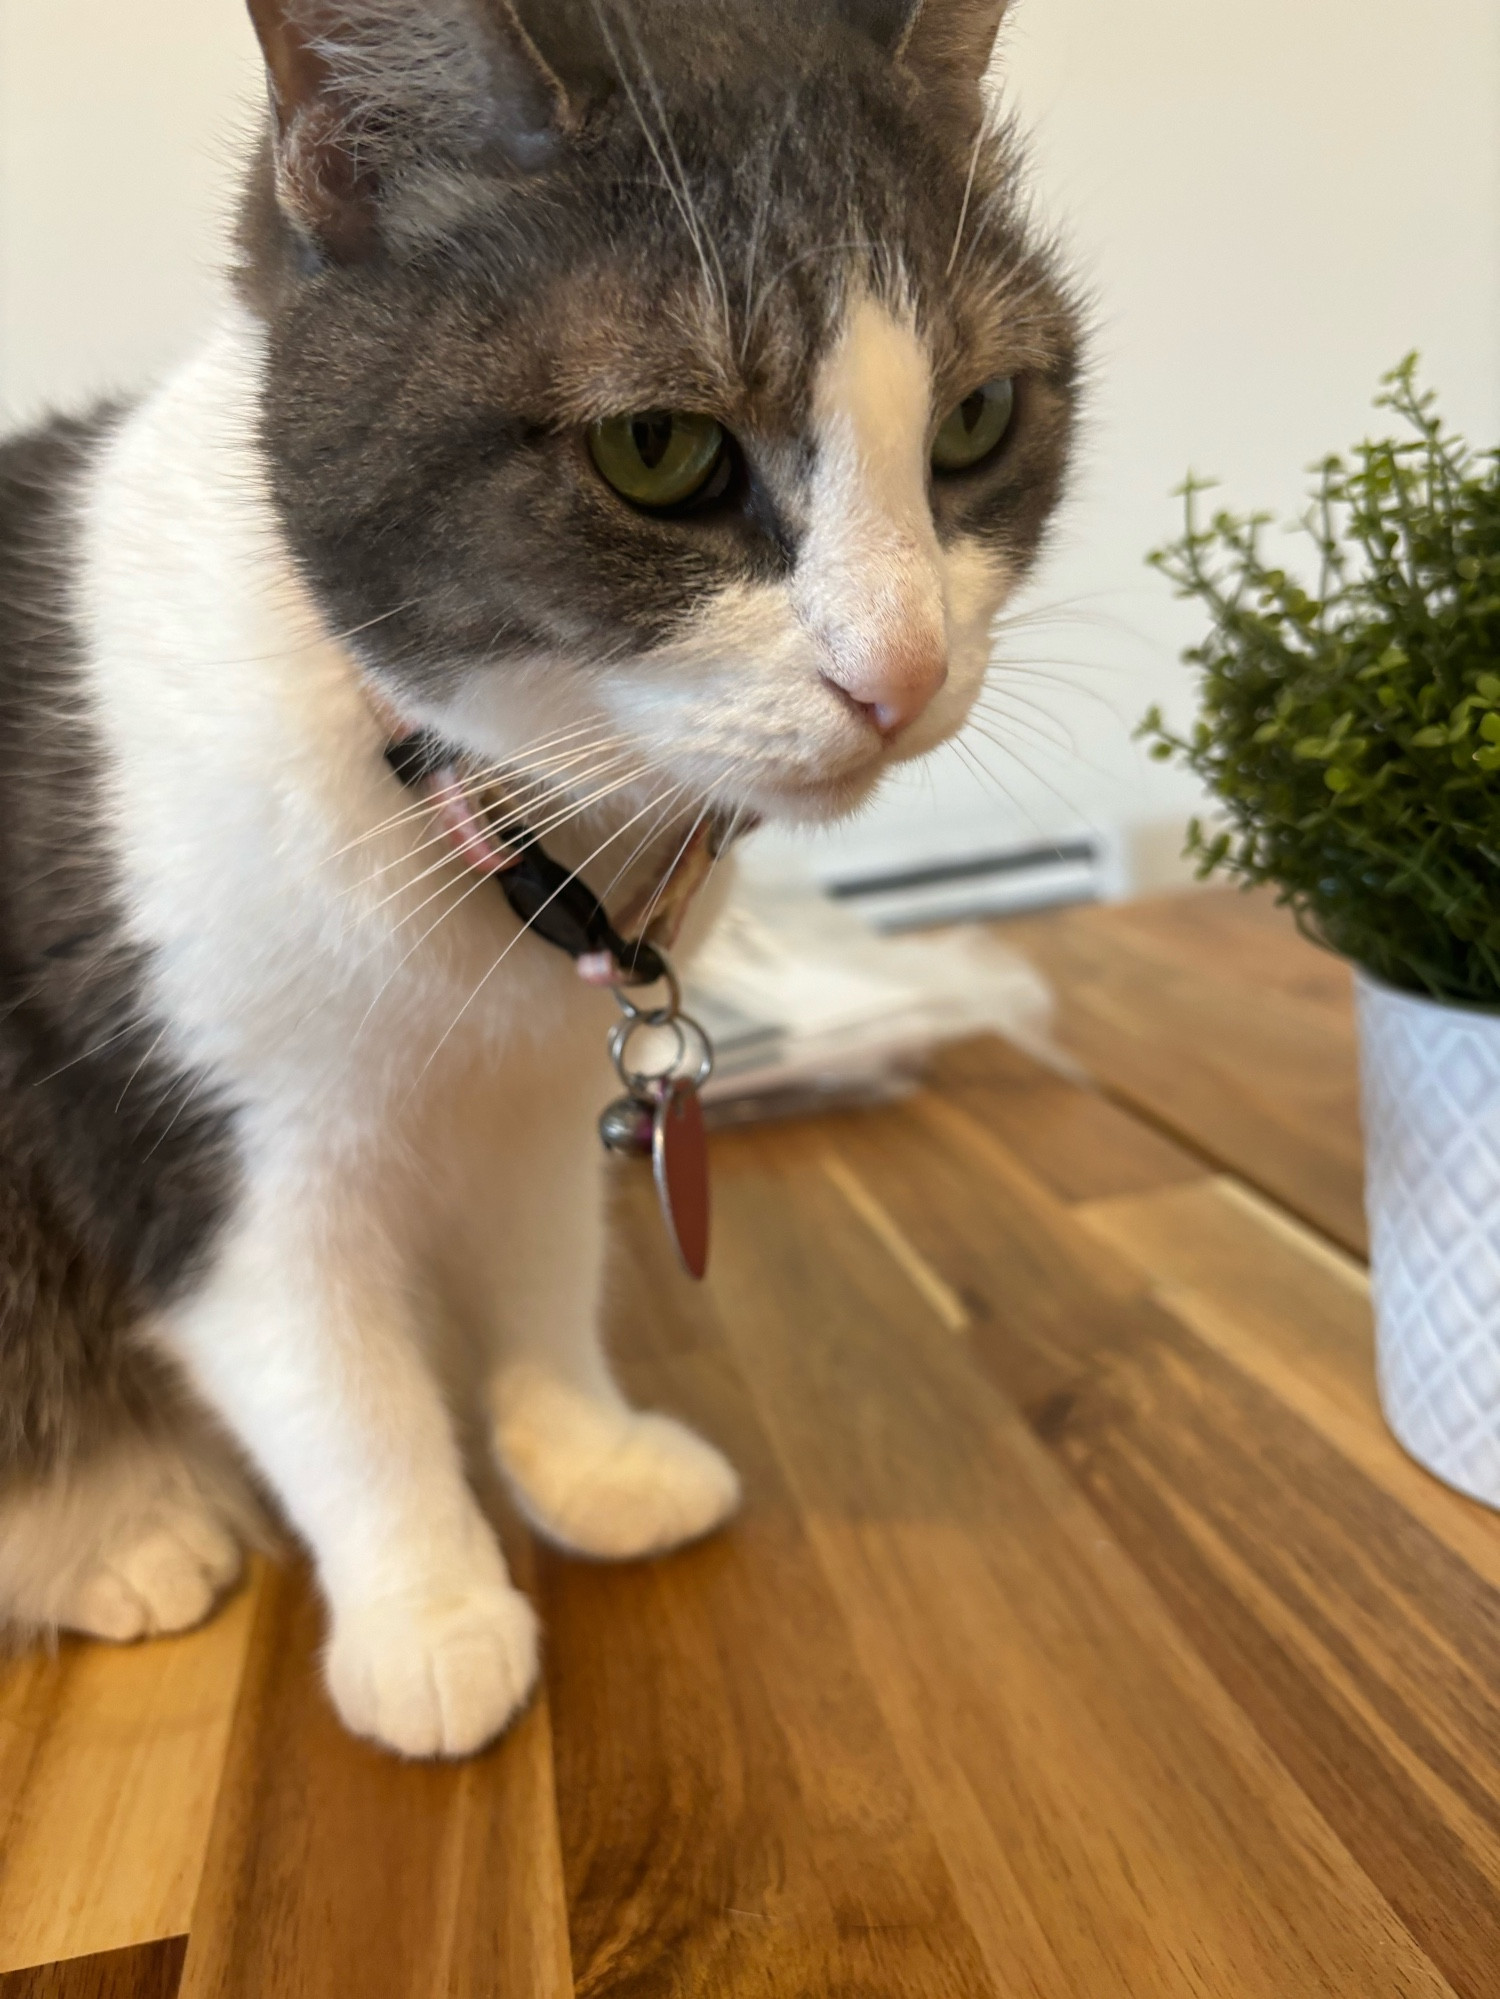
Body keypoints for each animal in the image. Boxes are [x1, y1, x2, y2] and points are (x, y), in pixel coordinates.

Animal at [0, 0, 1080, 1751]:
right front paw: (430, 1610)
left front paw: (584, 1452)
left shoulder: (539, 1090)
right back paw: (116, 1529)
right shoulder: (198, 1132)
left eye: (977, 419)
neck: (494, 822)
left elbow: (543, 1264)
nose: (902, 670)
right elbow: (334, 1378)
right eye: (658, 446)